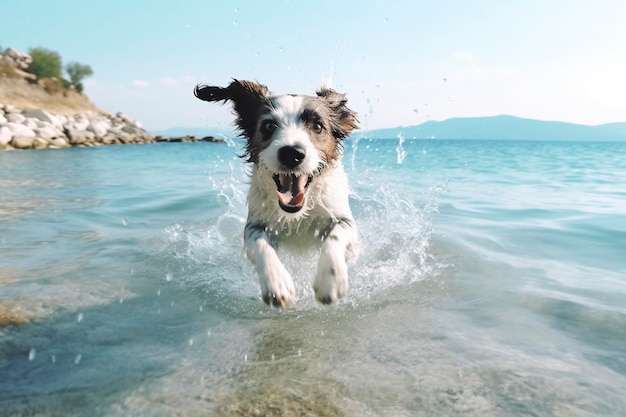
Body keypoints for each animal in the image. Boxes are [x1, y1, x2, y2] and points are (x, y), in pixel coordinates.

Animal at [195, 79, 360, 306]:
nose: (292, 153)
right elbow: (260, 243)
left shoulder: (343, 220)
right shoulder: (256, 223)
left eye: (318, 126)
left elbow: (336, 235)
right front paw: (277, 283)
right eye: (268, 126)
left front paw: (330, 279)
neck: (297, 214)